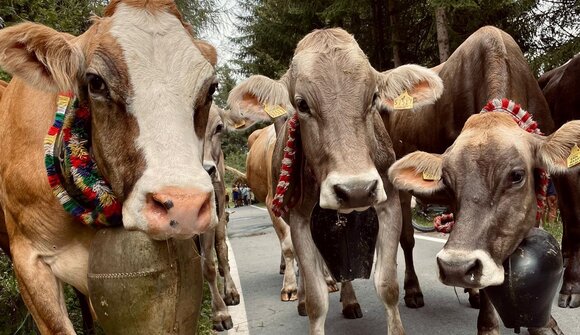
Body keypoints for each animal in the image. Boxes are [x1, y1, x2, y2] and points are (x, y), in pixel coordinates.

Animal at [228, 27, 444, 334]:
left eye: (373, 98)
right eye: (301, 104)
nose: (356, 190)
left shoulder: (388, 202)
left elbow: (387, 285)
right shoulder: (298, 216)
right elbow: (317, 299)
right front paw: (309, 300)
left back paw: (349, 300)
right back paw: (301, 296)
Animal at [390, 111, 580, 335]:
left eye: (517, 175)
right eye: (445, 180)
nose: (454, 268)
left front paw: (545, 324)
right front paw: (488, 326)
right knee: (407, 240)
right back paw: (413, 290)